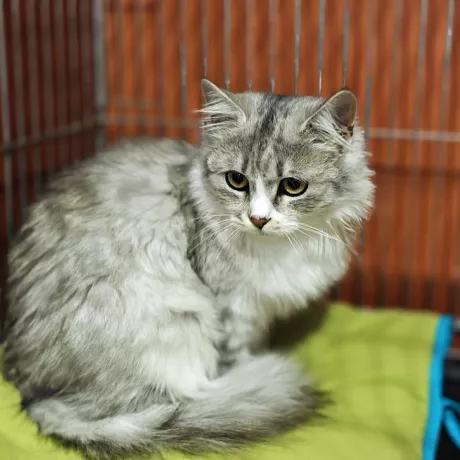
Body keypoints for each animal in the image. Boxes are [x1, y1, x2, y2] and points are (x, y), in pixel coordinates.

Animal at [3, 79, 374, 459]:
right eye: (236, 180)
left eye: (293, 186)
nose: (258, 219)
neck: (283, 246)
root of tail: (35, 399)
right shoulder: (232, 307)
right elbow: (237, 355)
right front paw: (248, 368)